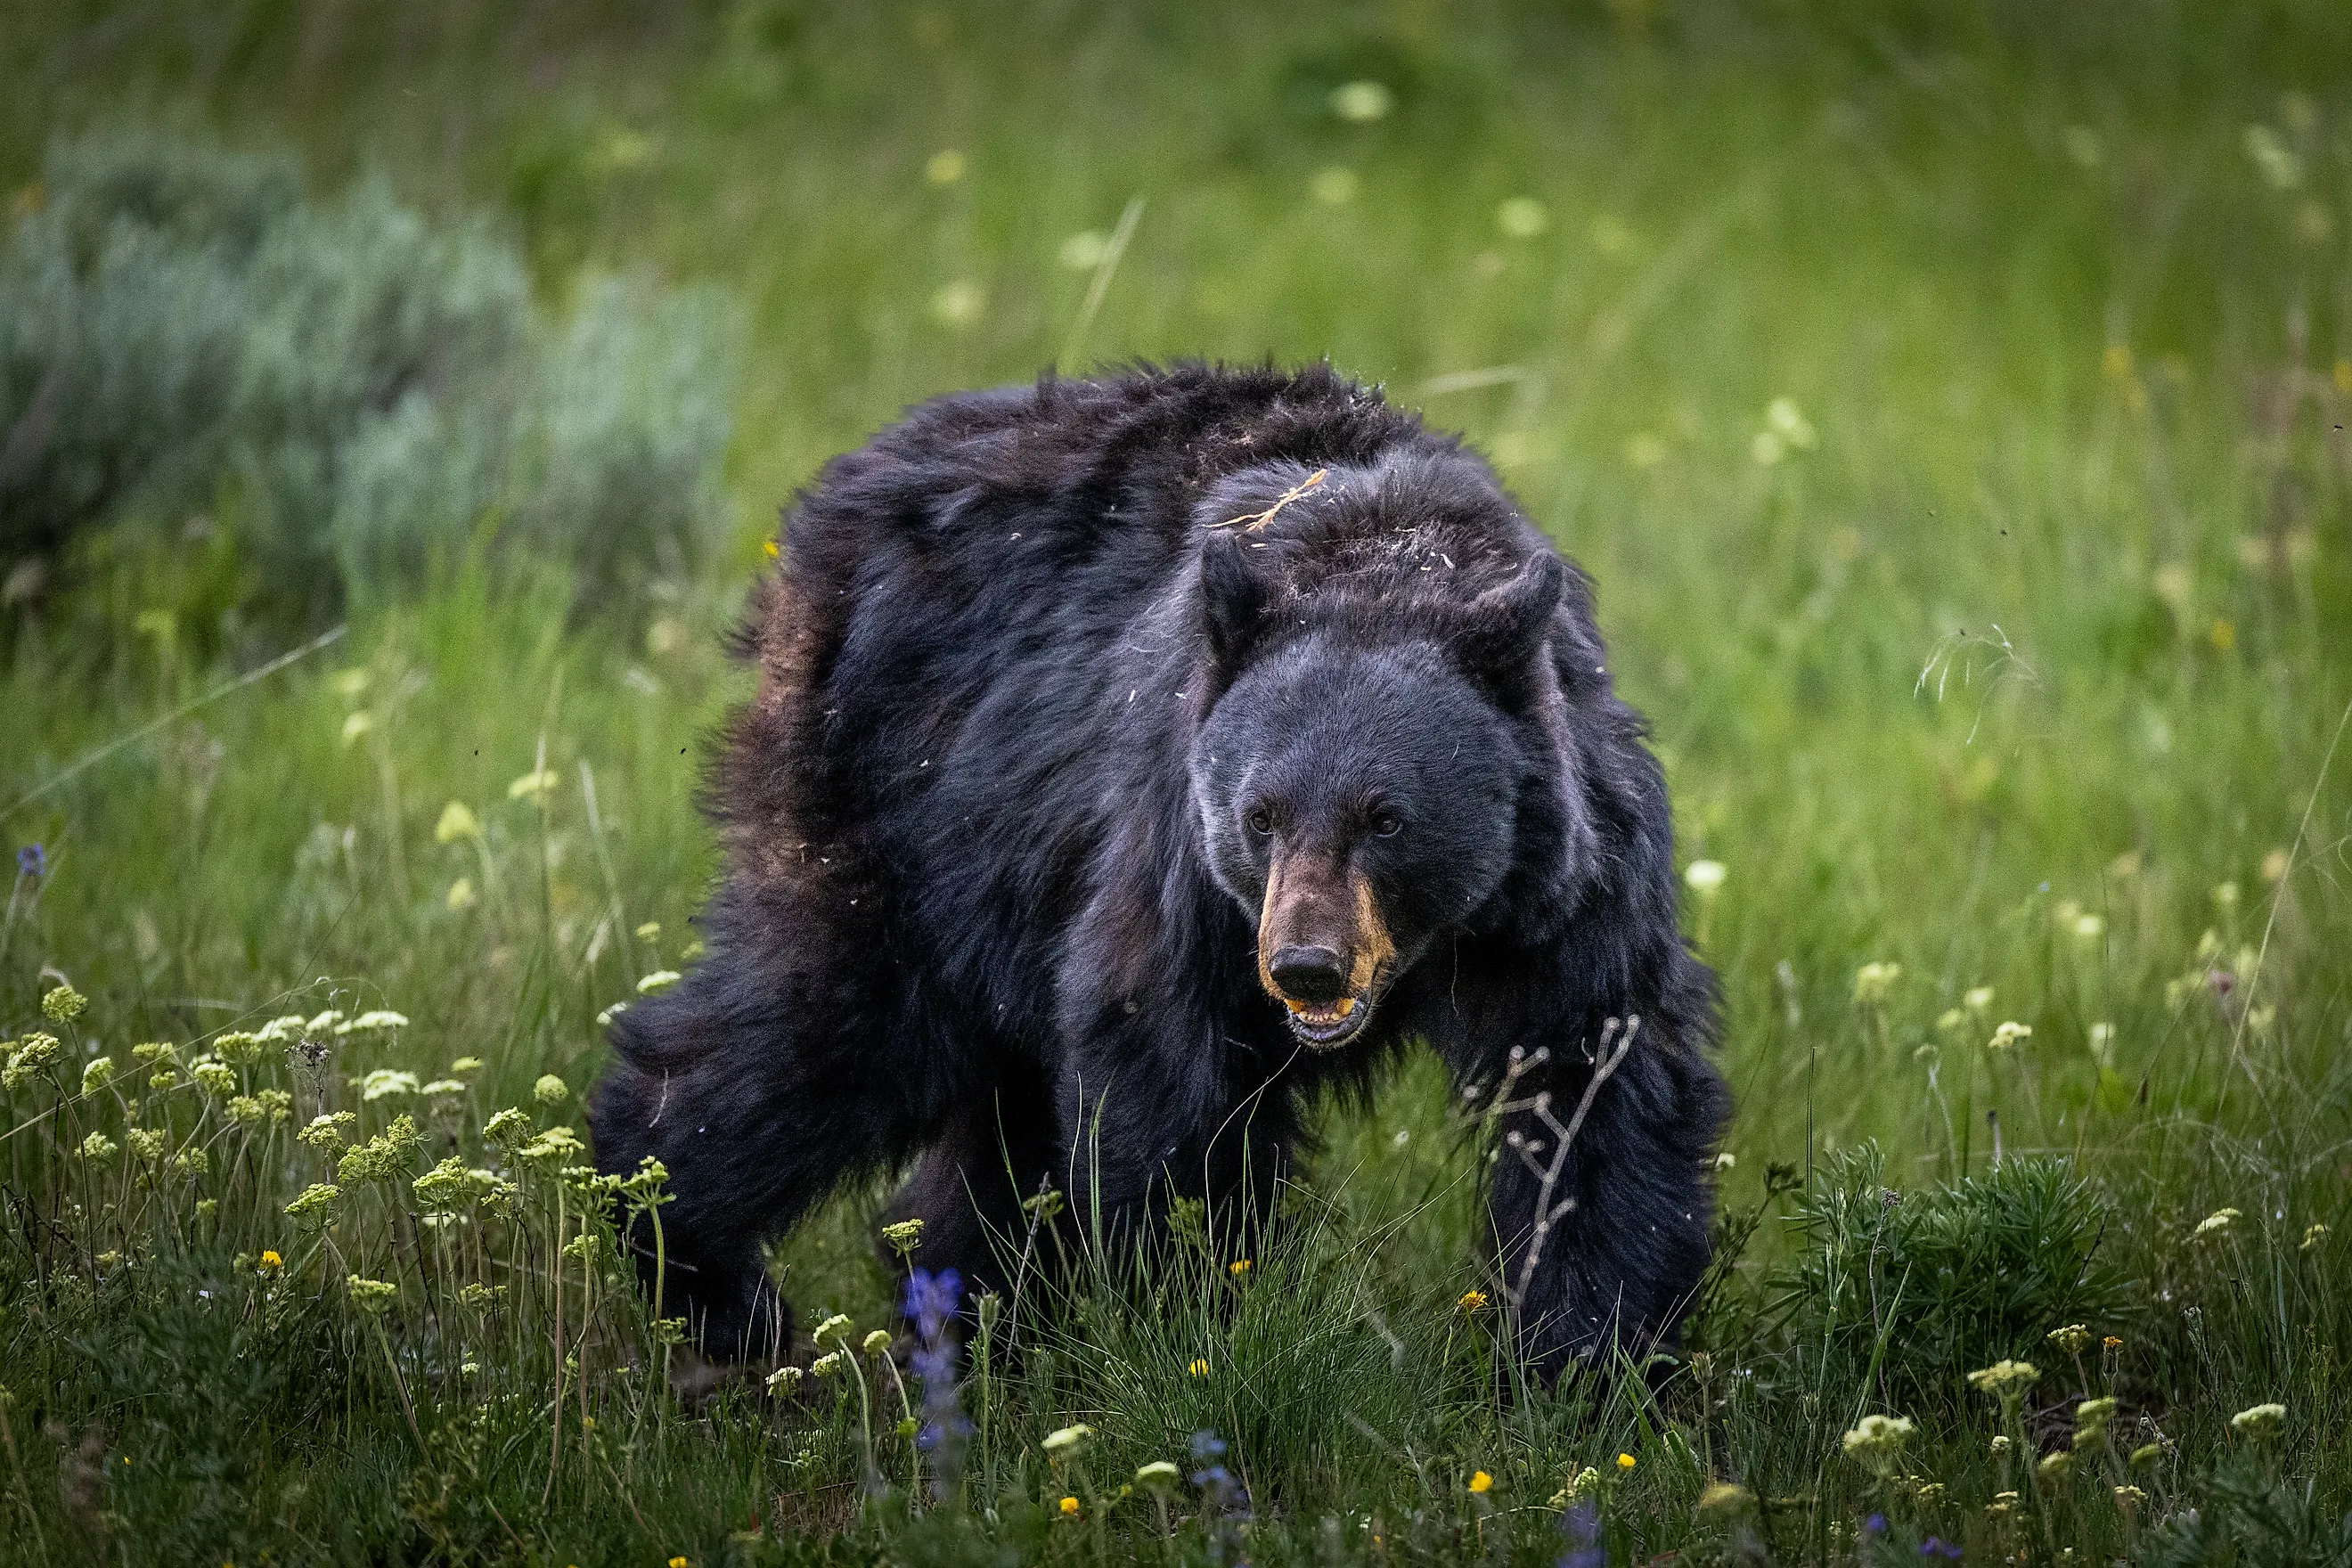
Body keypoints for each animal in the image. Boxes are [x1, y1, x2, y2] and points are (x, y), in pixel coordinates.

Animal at [589, 362, 1728, 1381]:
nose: (1307, 966)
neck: (1387, 561)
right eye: (1261, 814)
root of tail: (819, 516)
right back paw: (705, 1270)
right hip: (905, 809)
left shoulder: (1570, 888)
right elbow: (1166, 1073)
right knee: (826, 1024)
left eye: (1387, 818)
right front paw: (1190, 1316)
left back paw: (969, 1321)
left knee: (989, 1117)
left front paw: (1589, 1364)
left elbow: (1599, 1086)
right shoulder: (1177, 853)